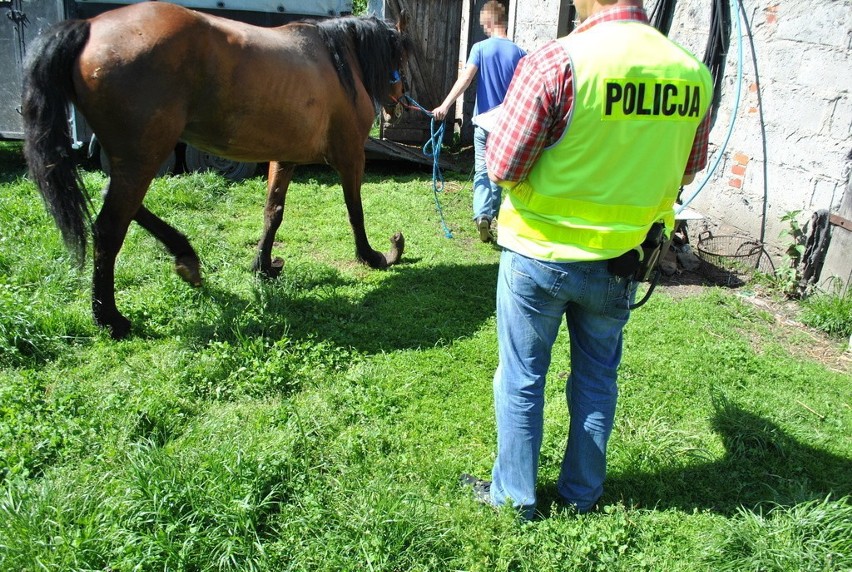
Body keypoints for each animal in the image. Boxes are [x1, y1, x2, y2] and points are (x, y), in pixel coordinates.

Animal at [19, 1, 406, 340]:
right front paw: (375, 256)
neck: (337, 63)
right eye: (401, 55)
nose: (399, 104)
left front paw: (264, 266)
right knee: (109, 228)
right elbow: (355, 211)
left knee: (118, 204)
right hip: (143, 157)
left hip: (133, 160)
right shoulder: (350, 156)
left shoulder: (284, 159)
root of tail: (88, 28)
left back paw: (185, 257)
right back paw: (110, 318)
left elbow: (273, 211)